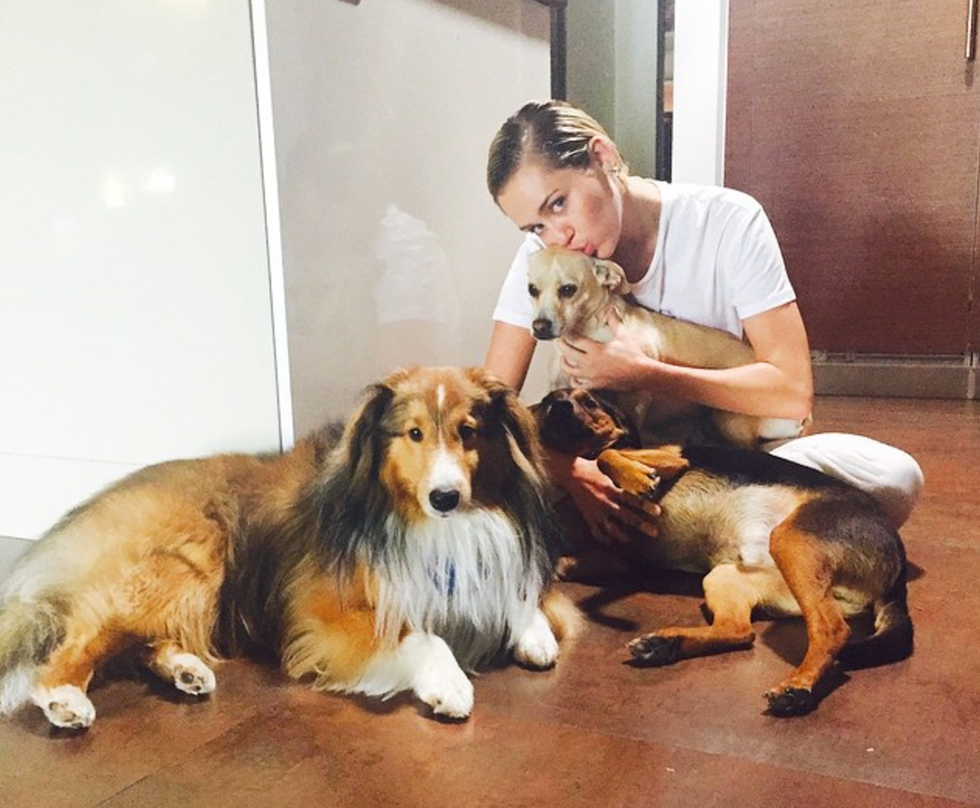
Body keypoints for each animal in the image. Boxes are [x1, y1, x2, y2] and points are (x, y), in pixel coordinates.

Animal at [0, 366, 578, 730]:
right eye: (413, 433)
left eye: (468, 430)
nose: (445, 497)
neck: (430, 525)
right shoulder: (326, 615)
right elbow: (425, 637)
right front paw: (450, 685)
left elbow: (529, 599)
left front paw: (533, 632)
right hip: (180, 567)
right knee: (77, 643)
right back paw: (64, 700)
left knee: (145, 642)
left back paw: (187, 670)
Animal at [527, 246, 807, 448]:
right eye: (532, 289)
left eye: (568, 289)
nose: (539, 326)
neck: (589, 330)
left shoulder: (636, 398)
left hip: (729, 419)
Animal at [533, 387, 913, 716]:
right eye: (549, 401)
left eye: (590, 401)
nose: (559, 406)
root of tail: (896, 563)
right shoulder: (618, 555)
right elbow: (566, 562)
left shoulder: (672, 458)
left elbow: (607, 456)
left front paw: (637, 479)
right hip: (729, 576)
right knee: (739, 631)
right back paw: (665, 645)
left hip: (792, 541)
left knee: (831, 630)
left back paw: (798, 688)